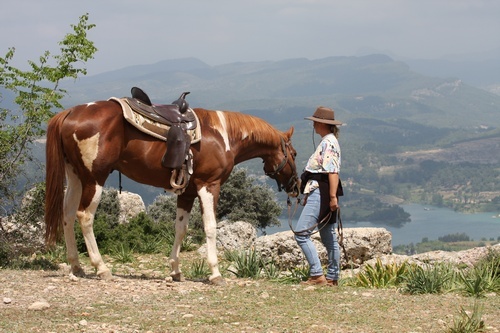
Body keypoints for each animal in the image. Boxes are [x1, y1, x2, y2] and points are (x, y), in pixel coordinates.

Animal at [44, 94, 300, 284]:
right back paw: (101, 268)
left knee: (67, 215)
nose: (296, 186)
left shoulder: (187, 192)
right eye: (295, 154)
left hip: (76, 176)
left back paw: (76, 265)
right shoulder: (209, 186)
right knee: (84, 216)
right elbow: (210, 228)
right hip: (94, 178)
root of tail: (70, 113)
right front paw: (215, 273)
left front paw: (176, 271)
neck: (224, 136)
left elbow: (180, 229)